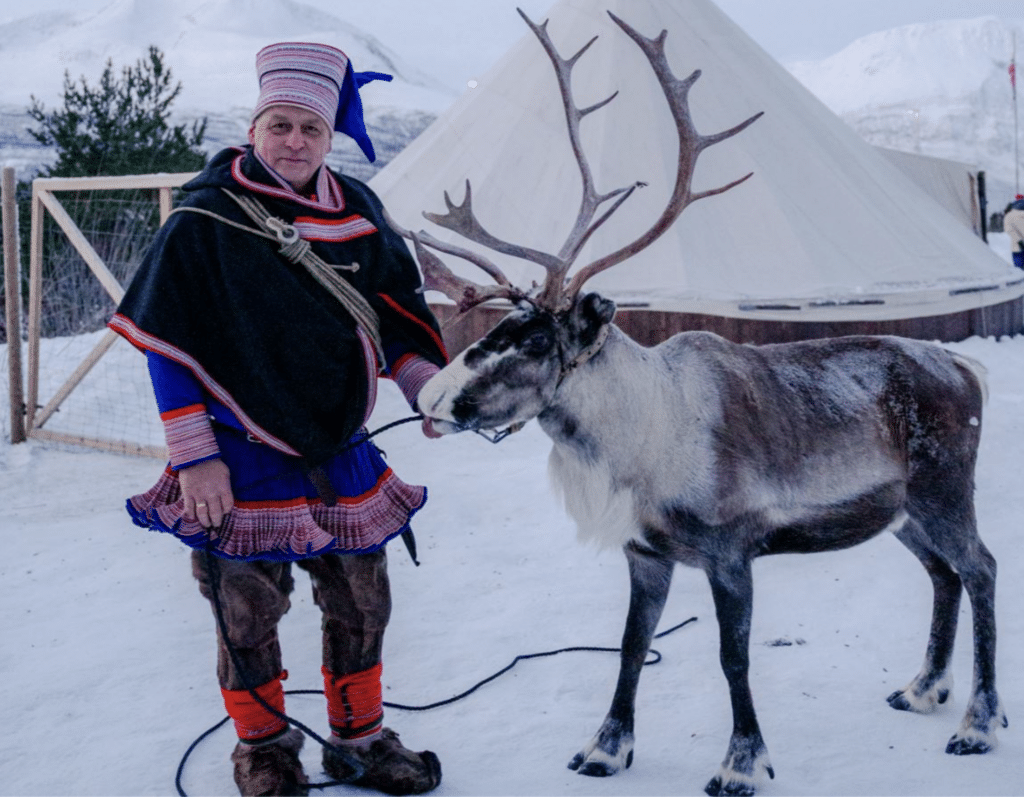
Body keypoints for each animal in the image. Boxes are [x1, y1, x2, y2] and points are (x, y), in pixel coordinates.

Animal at [386, 9, 1007, 796]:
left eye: (532, 339)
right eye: (495, 325)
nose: (433, 396)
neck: (640, 441)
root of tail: (964, 365)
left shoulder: (730, 552)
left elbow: (731, 657)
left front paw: (741, 763)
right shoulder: (645, 553)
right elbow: (628, 646)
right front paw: (604, 748)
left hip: (944, 490)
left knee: (981, 568)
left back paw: (978, 724)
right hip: (901, 511)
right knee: (943, 575)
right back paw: (923, 688)